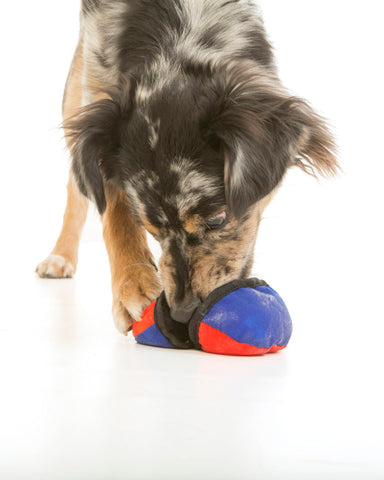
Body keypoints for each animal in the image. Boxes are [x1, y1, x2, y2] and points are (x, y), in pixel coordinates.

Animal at [35, 0, 336, 334]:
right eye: (150, 228)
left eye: (217, 219)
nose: (182, 313)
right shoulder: (96, 71)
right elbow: (113, 211)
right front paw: (132, 284)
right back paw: (60, 255)